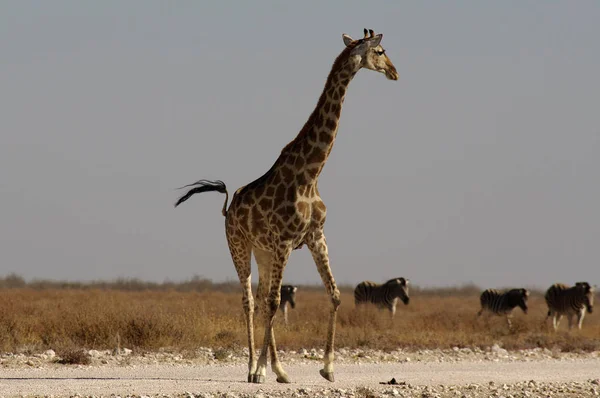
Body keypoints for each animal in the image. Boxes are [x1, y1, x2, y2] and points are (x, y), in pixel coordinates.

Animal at [175, 28, 398, 382]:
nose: (394, 72)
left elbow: (333, 295)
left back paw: (266, 368)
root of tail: (227, 209)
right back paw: (254, 368)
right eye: (380, 51)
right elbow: (274, 302)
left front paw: (327, 368)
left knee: (263, 296)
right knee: (251, 301)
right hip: (240, 247)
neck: (310, 174)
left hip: (264, 253)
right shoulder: (283, 242)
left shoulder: (315, 237)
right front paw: (268, 369)